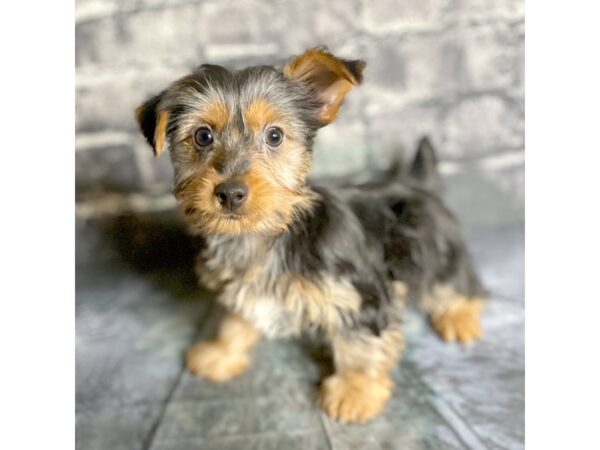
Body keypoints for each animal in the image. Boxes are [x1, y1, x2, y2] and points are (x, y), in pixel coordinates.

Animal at [134, 45, 486, 422]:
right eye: (202, 136)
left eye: (274, 136)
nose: (231, 193)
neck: (268, 234)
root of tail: (416, 183)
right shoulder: (244, 285)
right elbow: (235, 320)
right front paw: (221, 353)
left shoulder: (359, 294)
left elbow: (360, 346)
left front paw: (353, 392)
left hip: (437, 247)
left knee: (453, 282)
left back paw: (459, 316)